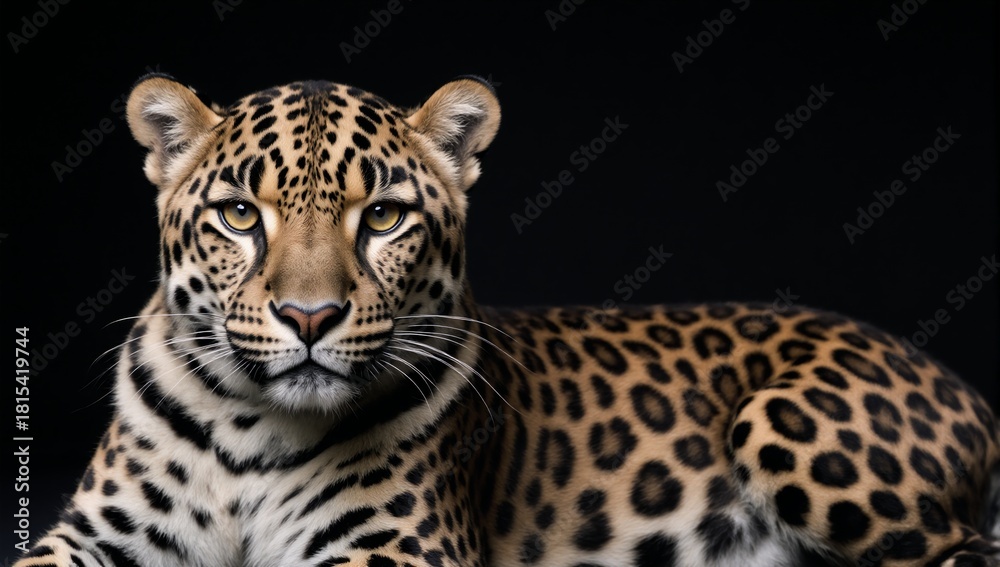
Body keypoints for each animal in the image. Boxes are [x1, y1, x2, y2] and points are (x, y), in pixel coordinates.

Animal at [14, 73, 1000, 567]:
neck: (253, 430)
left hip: (783, 422)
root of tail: (955, 377)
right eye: (238, 215)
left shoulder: (402, 549)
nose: (309, 315)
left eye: (383, 217)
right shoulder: (92, 534)